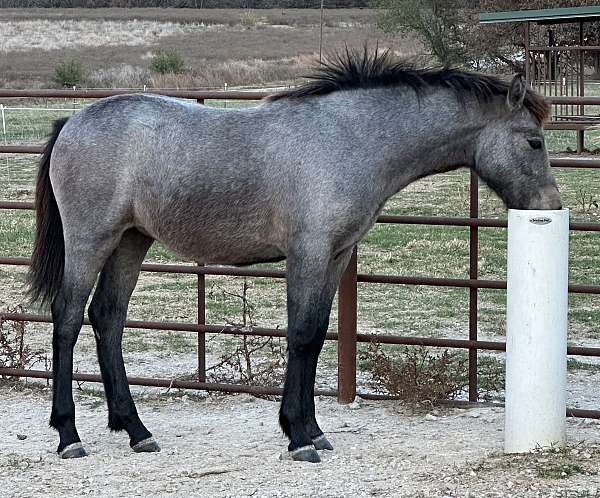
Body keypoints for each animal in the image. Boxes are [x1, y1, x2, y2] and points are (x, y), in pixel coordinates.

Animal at [27, 50, 564, 462]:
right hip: (91, 240)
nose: (551, 207)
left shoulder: (337, 256)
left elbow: (318, 335)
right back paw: (69, 436)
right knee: (68, 319)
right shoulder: (308, 252)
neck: (350, 138)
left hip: (131, 241)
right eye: (534, 141)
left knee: (108, 318)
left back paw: (136, 431)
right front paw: (299, 437)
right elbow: (301, 334)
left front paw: (313, 430)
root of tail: (72, 121)